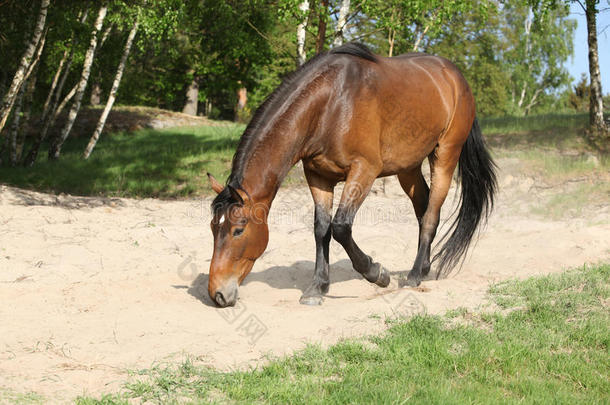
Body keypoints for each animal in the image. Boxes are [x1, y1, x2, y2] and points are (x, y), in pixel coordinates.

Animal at [207, 43, 492, 306]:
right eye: (213, 227)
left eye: (238, 230)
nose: (217, 294)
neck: (330, 104)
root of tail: (455, 76)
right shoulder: (318, 176)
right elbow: (321, 228)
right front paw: (317, 287)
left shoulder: (364, 170)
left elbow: (341, 227)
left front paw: (377, 273)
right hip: (408, 168)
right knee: (423, 211)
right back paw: (423, 268)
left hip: (445, 157)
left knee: (431, 215)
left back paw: (413, 276)